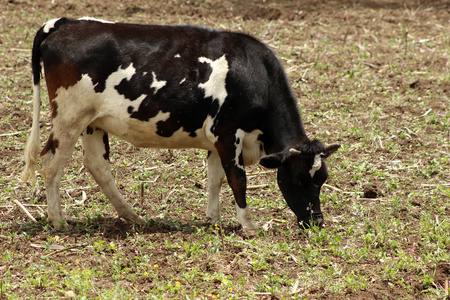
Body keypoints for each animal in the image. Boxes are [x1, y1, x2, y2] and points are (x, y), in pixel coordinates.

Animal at [21, 17, 338, 231]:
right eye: (298, 179)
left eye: (322, 179)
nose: (317, 221)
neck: (253, 75)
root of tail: (65, 23)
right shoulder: (228, 134)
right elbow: (237, 180)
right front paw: (248, 225)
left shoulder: (216, 141)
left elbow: (215, 178)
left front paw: (214, 220)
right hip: (69, 117)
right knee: (52, 164)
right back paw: (59, 221)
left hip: (92, 122)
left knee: (96, 165)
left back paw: (132, 216)